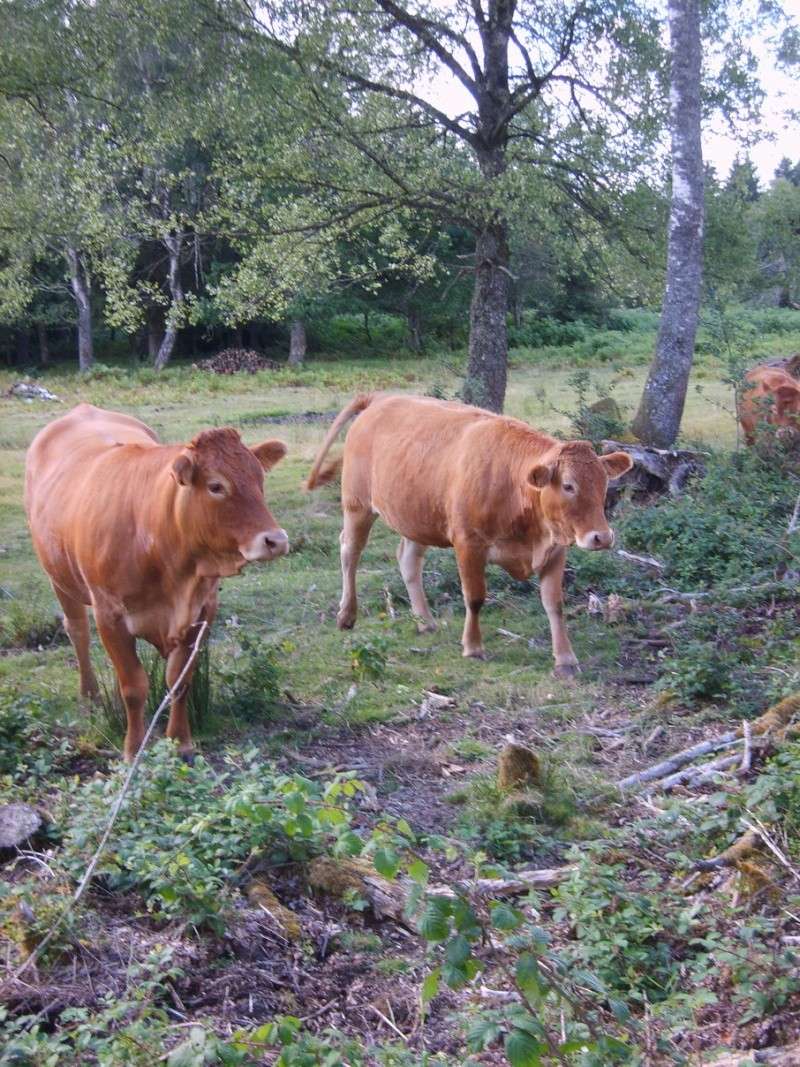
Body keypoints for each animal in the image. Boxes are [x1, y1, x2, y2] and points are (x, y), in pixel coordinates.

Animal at [26, 403, 290, 763]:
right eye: (216, 486)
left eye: (259, 479)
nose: (276, 540)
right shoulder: (109, 614)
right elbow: (134, 687)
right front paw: (133, 748)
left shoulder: (203, 609)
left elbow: (180, 680)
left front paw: (180, 741)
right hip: (59, 578)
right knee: (77, 630)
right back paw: (90, 694)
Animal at [307, 392, 631, 674]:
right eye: (568, 485)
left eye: (604, 483)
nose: (602, 537)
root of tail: (381, 397)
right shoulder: (468, 543)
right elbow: (475, 597)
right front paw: (473, 647)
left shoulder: (554, 549)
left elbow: (555, 605)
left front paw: (565, 659)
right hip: (357, 504)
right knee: (349, 552)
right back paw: (346, 615)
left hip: (416, 515)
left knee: (408, 561)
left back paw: (424, 621)